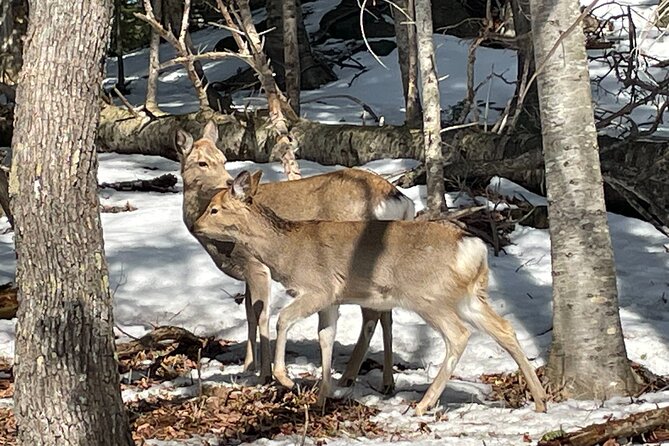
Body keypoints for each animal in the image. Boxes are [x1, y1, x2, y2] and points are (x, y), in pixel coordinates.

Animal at [174, 119, 412, 394]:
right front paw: (248, 367)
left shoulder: (255, 265)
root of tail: (402, 201)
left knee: (372, 315)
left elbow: (261, 314)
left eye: (223, 159)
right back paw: (386, 381)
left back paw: (348, 377)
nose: (228, 182)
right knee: (387, 315)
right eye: (202, 162)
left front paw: (264, 374)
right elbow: (248, 314)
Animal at [192, 170, 548, 414]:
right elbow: (326, 337)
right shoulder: (332, 301)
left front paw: (286, 379)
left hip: (428, 295)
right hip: (470, 295)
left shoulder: (319, 288)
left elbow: (283, 319)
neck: (286, 250)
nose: (195, 225)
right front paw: (322, 396)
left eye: (215, 208)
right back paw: (541, 399)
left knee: (459, 335)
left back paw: (423, 404)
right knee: (505, 328)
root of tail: (473, 248)